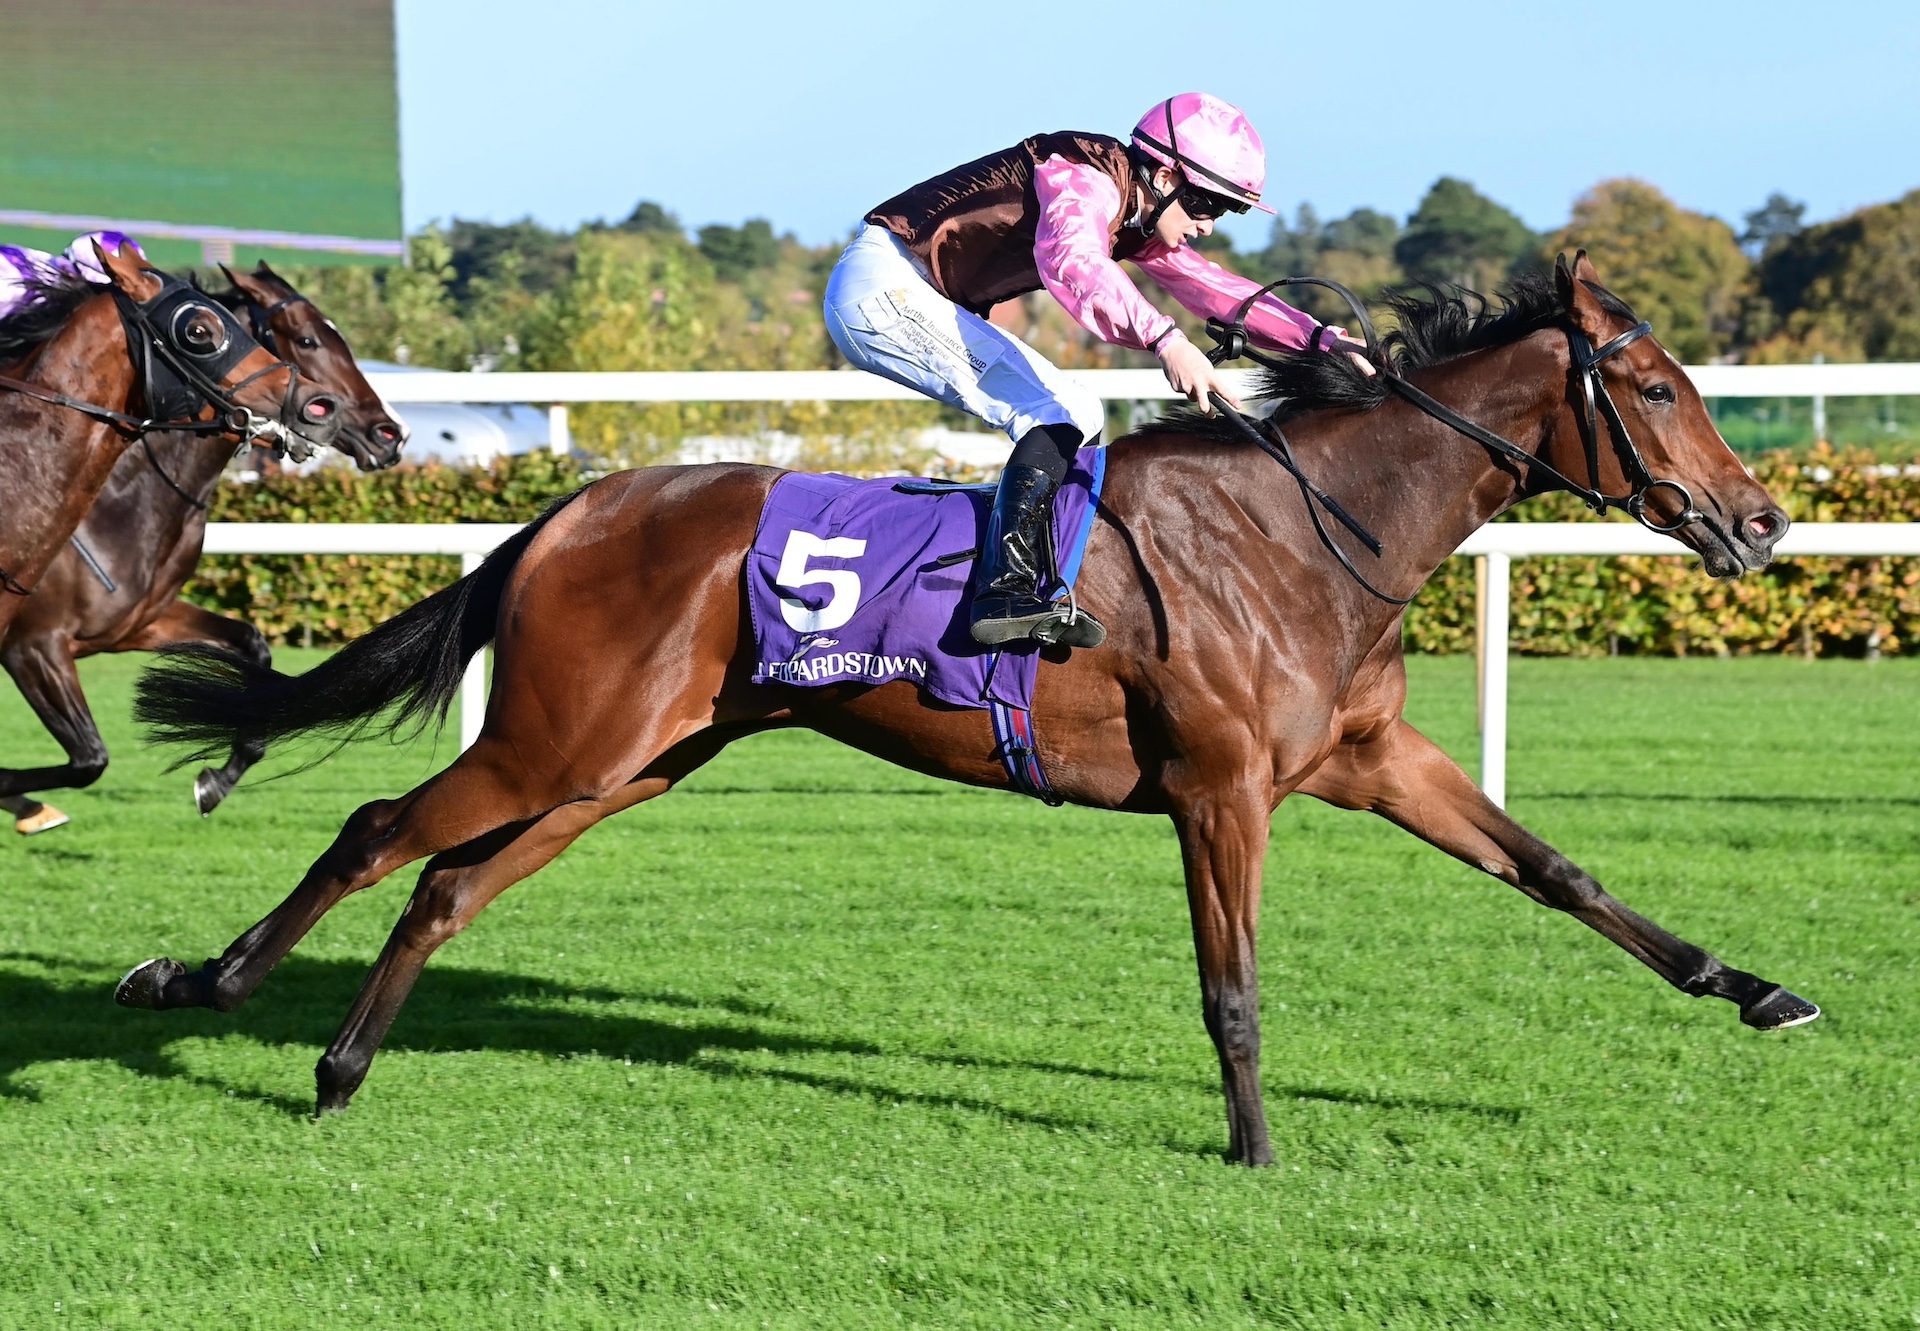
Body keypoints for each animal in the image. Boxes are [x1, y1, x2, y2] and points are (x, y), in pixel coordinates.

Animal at [131, 257, 1812, 1160]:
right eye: (1656, 390)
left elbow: (1558, 869)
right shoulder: (1219, 786)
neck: (1309, 524)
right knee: (374, 827)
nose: (1761, 523)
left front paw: (1753, 985)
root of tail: (568, 510)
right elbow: (1233, 985)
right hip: (560, 736)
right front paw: (1257, 1141)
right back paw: (202, 979)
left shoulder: (1368, 754)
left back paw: (340, 1066)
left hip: (630, 761)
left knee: (448, 881)